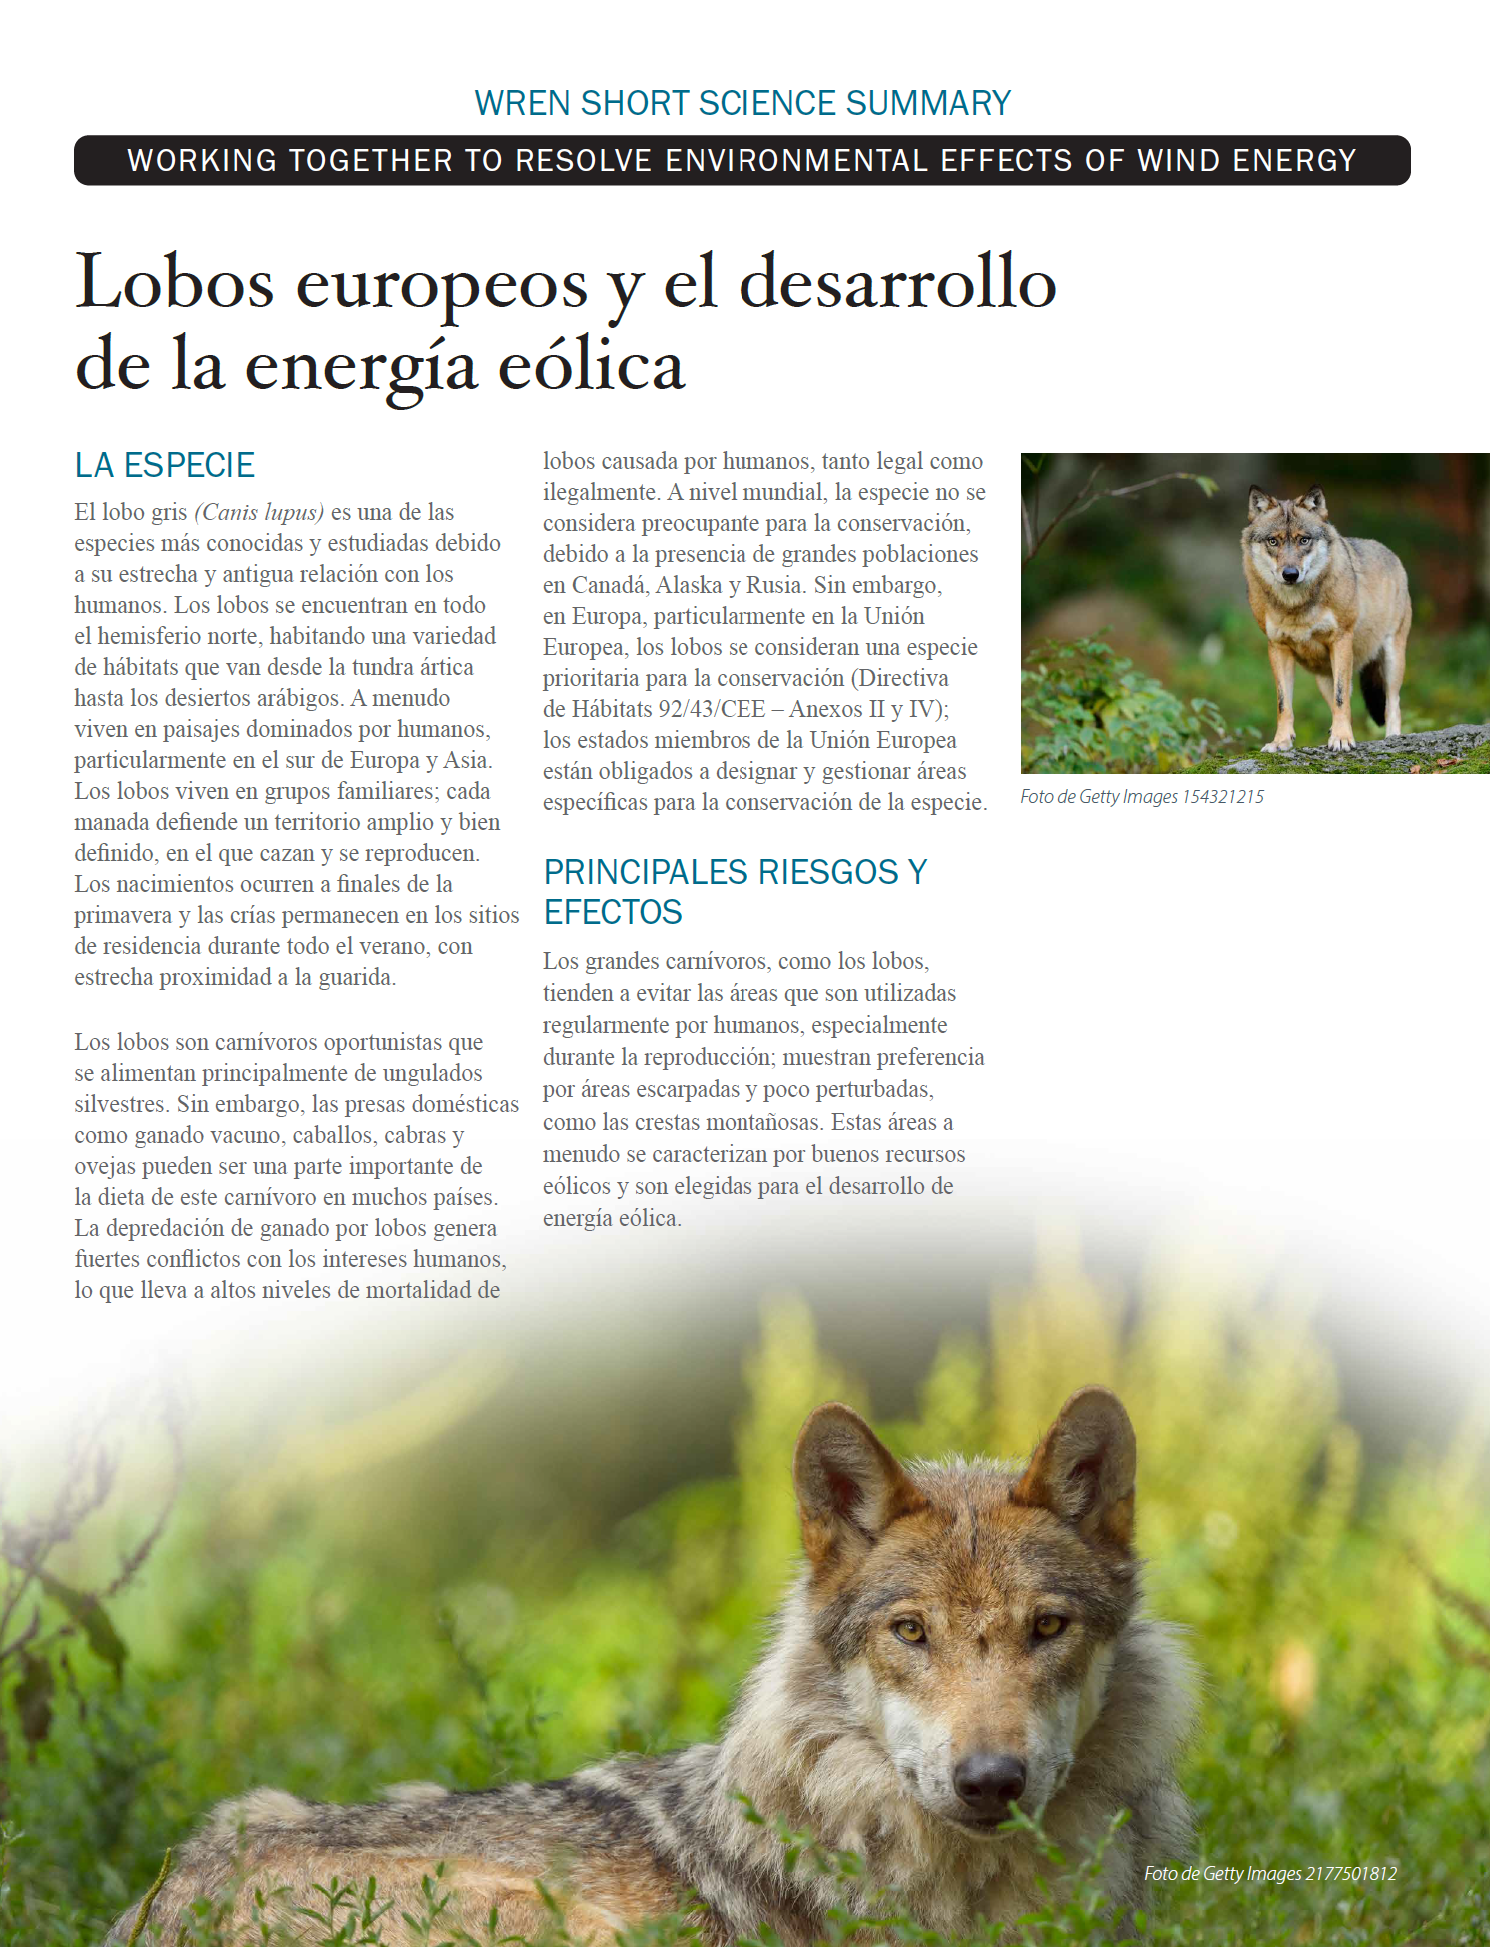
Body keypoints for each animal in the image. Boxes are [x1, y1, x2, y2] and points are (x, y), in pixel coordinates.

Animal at [1242, 485, 1412, 752]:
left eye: (1304, 539)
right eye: (1273, 541)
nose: (1290, 574)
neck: (1296, 607)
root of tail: (1392, 554)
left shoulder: (1341, 639)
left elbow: (1342, 699)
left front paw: (1342, 739)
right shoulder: (1277, 648)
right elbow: (1283, 704)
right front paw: (1280, 742)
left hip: (1392, 659)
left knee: (1392, 704)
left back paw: (1391, 738)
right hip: (1323, 677)